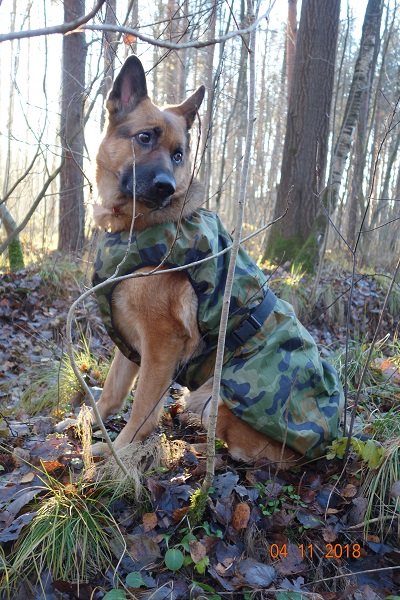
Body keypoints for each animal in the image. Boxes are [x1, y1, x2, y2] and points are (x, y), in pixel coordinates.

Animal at [92, 55, 344, 466]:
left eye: (178, 155)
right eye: (144, 138)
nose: (165, 186)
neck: (137, 227)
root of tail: (325, 448)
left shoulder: (161, 344)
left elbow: (142, 410)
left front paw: (118, 458)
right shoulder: (128, 340)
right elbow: (112, 393)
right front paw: (89, 430)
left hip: (214, 397)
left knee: (239, 453)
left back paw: (192, 447)